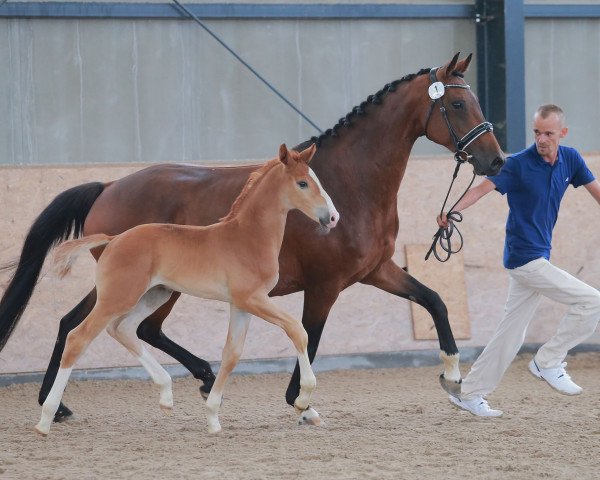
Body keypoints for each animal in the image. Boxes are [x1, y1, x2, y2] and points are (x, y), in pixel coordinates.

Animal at [35, 142, 340, 436]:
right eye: (302, 183)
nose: (333, 217)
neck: (247, 237)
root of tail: (113, 239)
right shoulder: (253, 299)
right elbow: (297, 331)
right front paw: (302, 400)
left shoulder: (240, 304)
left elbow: (231, 354)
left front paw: (213, 419)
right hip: (118, 297)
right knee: (78, 337)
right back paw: (46, 420)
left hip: (155, 294)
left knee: (123, 329)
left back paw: (166, 395)